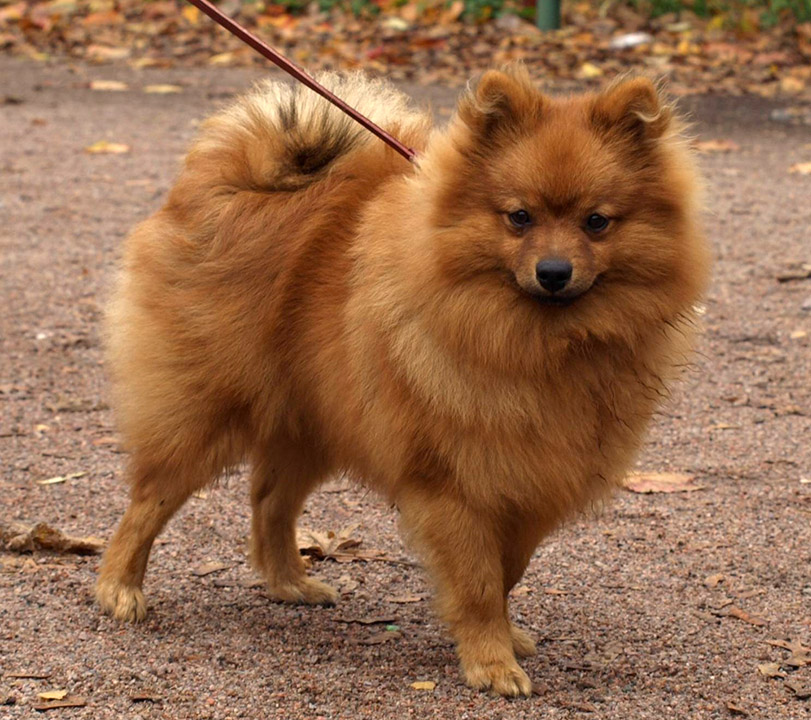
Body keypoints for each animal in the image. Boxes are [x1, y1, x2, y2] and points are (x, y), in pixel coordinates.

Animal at [96, 65, 710, 696]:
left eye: (596, 221)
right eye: (519, 218)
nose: (554, 272)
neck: (542, 345)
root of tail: (233, 183)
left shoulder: (530, 480)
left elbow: (507, 570)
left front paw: (504, 636)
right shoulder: (454, 480)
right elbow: (479, 581)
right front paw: (491, 661)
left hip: (313, 418)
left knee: (269, 500)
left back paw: (289, 581)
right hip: (204, 412)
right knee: (149, 502)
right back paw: (120, 587)